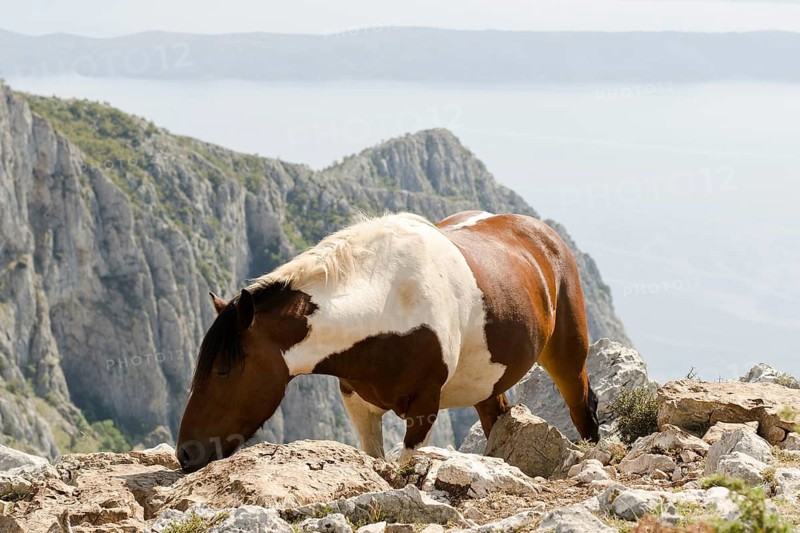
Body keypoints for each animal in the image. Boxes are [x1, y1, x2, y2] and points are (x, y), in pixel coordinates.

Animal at [176, 211, 599, 473]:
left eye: (223, 370)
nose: (186, 453)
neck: (388, 299)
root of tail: (542, 233)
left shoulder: (424, 408)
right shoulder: (358, 403)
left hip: (568, 356)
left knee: (581, 406)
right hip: (486, 383)